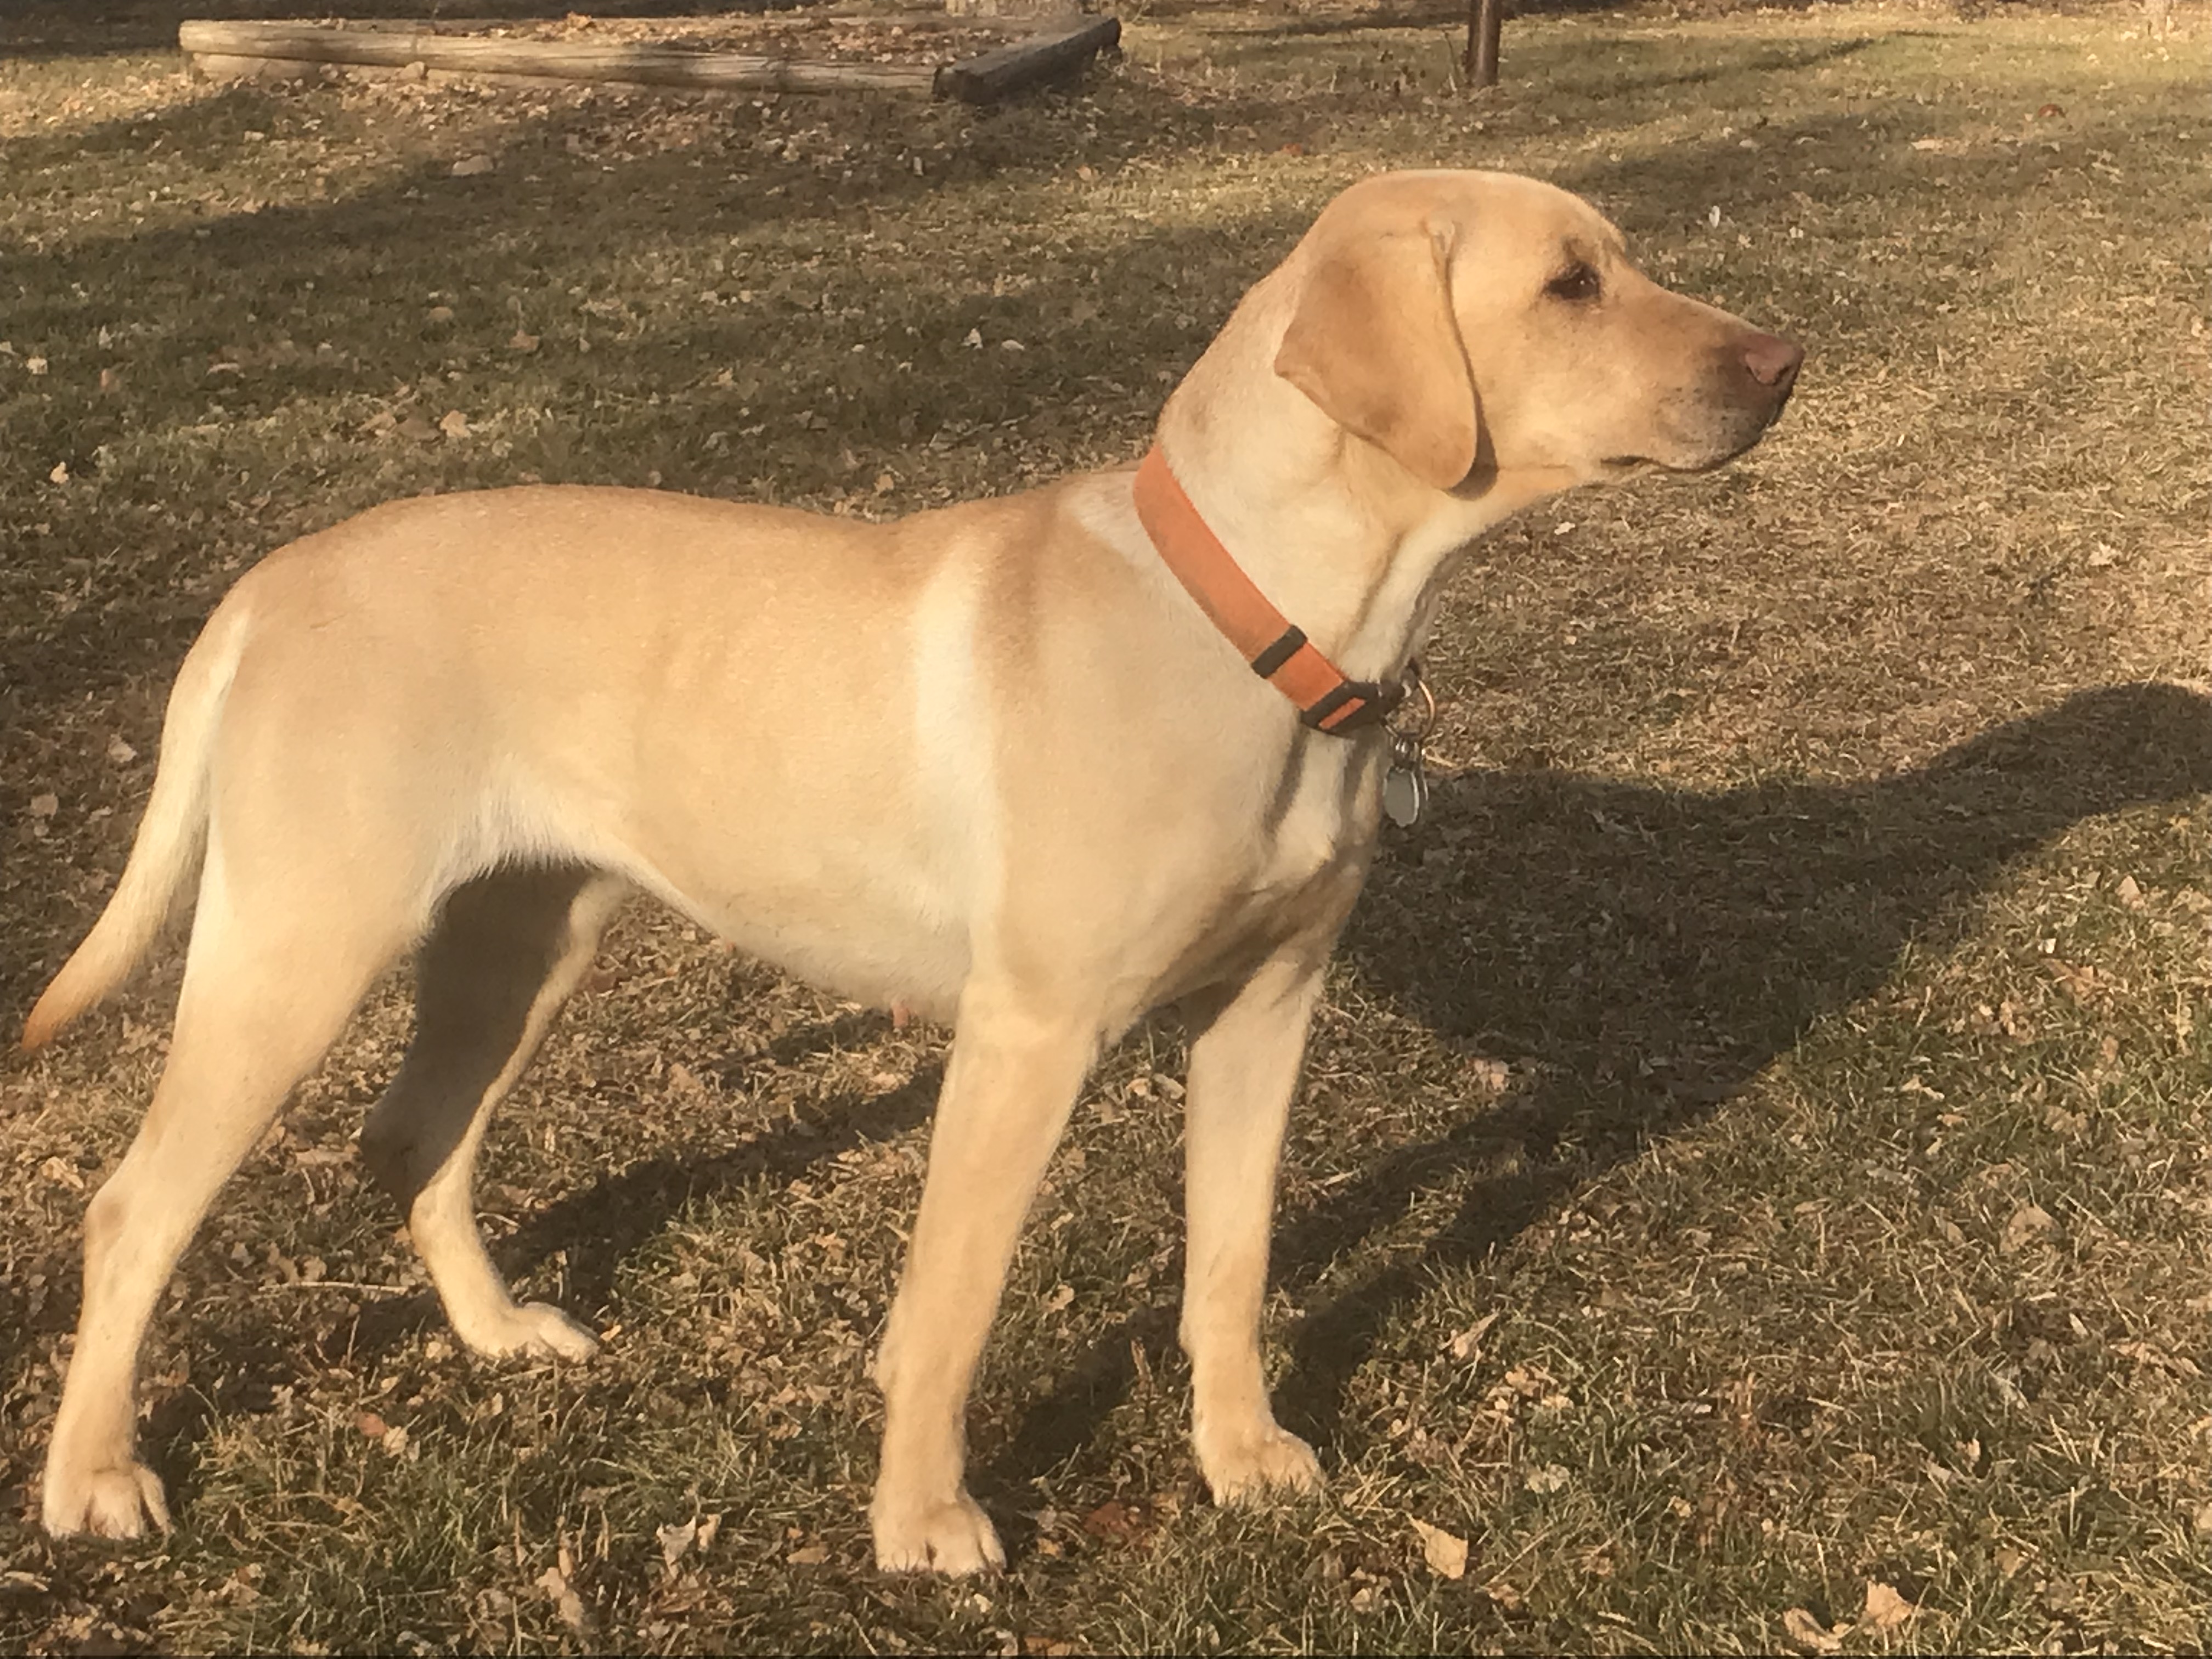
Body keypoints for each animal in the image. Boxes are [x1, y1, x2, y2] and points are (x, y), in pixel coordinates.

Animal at [21, 169, 1796, 1575]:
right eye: (1571, 284)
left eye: (1619, 261)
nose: (1787, 362)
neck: (1258, 622)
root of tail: (269, 581)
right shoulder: (1028, 1036)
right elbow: (953, 1307)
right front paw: (923, 1524)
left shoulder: (1265, 1011)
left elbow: (1229, 1265)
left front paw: (1239, 1460)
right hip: (298, 948)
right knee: (135, 1206)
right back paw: (96, 1479)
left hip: (522, 941)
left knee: (415, 1140)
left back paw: (500, 1334)